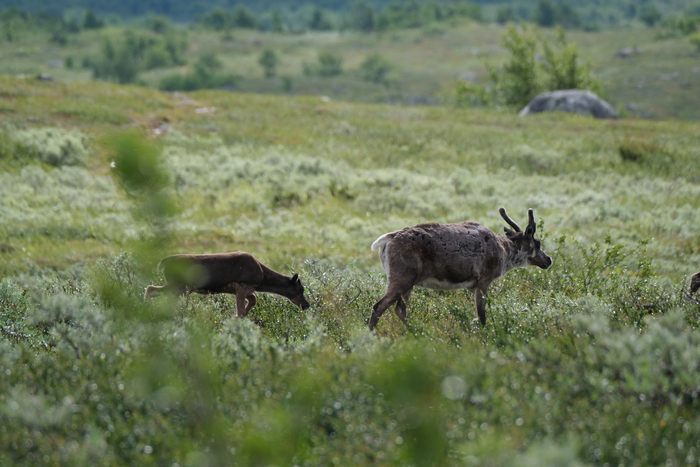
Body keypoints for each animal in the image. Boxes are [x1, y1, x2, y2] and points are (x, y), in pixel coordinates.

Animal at [144, 251, 310, 317]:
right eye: (300, 289)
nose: (307, 305)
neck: (262, 277)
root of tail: (164, 262)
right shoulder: (242, 285)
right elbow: (242, 310)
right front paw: (237, 318)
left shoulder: (246, 289)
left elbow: (253, 299)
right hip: (179, 286)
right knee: (154, 291)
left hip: (179, 287)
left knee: (152, 289)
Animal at [369, 207, 552, 330]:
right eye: (537, 243)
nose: (548, 260)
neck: (504, 251)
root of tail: (389, 238)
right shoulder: (484, 280)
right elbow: (482, 315)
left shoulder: (472, 286)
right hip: (402, 278)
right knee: (379, 307)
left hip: (409, 282)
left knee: (400, 309)